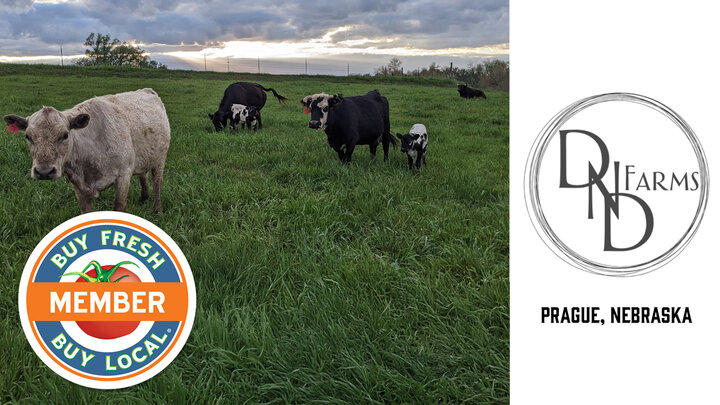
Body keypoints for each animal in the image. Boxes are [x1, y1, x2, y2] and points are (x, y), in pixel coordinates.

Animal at [3, 88, 170, 214]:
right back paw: (143, 199)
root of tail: (146, 90)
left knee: (157, 181)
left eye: (65, 135)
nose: (44, 172)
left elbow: (119, 206)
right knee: (143, 175)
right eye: (28, 136)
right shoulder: (77, 182)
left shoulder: (124, 174)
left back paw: (157, 209)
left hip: (161, 157)